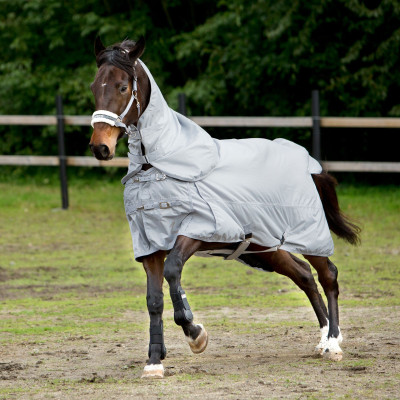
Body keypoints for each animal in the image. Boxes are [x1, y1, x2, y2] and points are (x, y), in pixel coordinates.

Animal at [89, 36, 360, 378]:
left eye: (123, 86)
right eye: (94, 86)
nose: (100, 147)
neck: (160, 166)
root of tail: (309, 163)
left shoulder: (197, 230)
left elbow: (173, 271)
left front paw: (195, 334)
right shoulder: (150, 245)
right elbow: (154, 300)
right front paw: (154, 361)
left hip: (307, 237)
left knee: (328, 276)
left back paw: (334, 343)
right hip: (267, 248)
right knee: (304, 276)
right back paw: (323, 340)